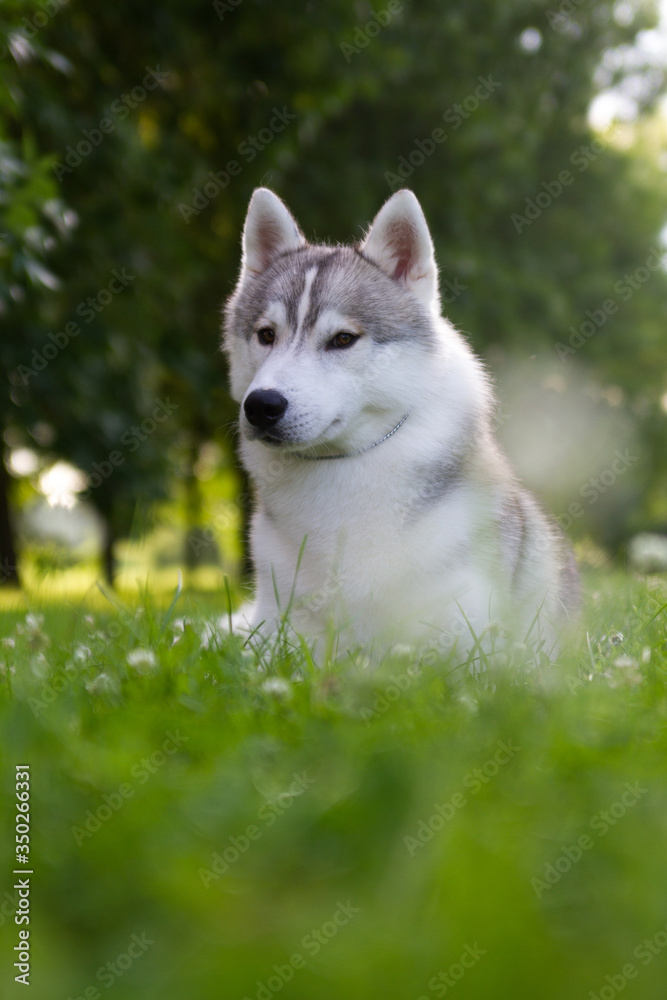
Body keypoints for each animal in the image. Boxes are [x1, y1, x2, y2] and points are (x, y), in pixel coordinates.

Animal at [224, 188, 580, 664]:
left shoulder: (465, 638)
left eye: (342, 339)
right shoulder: (275, 626)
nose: (262, 405)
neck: (343, 469)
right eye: (266, 334)